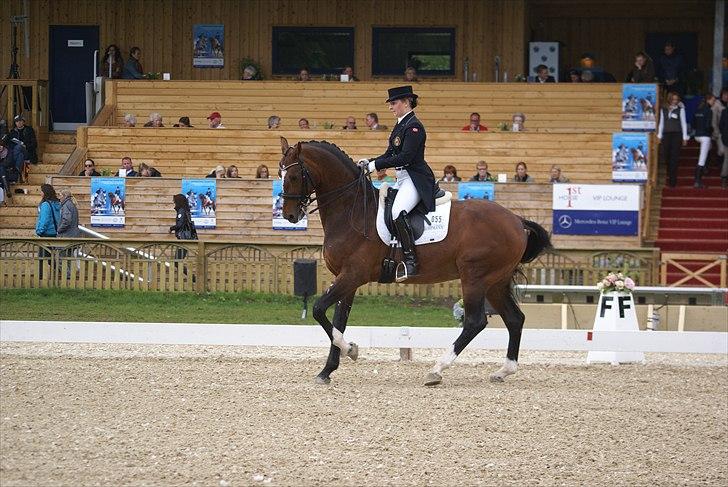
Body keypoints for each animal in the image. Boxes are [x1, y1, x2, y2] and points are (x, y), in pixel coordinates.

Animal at [278, 136, 552, 386]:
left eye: (293, 176)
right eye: (280, 172)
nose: (290, 216)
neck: (351, 211)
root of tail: (516, 220)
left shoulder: (353, 275)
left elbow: (318, 310)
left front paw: (350, 350)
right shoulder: (347, 279)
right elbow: (338, 322)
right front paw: (327, 370)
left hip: (475, 277)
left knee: (475, 322)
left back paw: (437, 370)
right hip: (496, 282)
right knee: (514, 319)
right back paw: (504, 370)